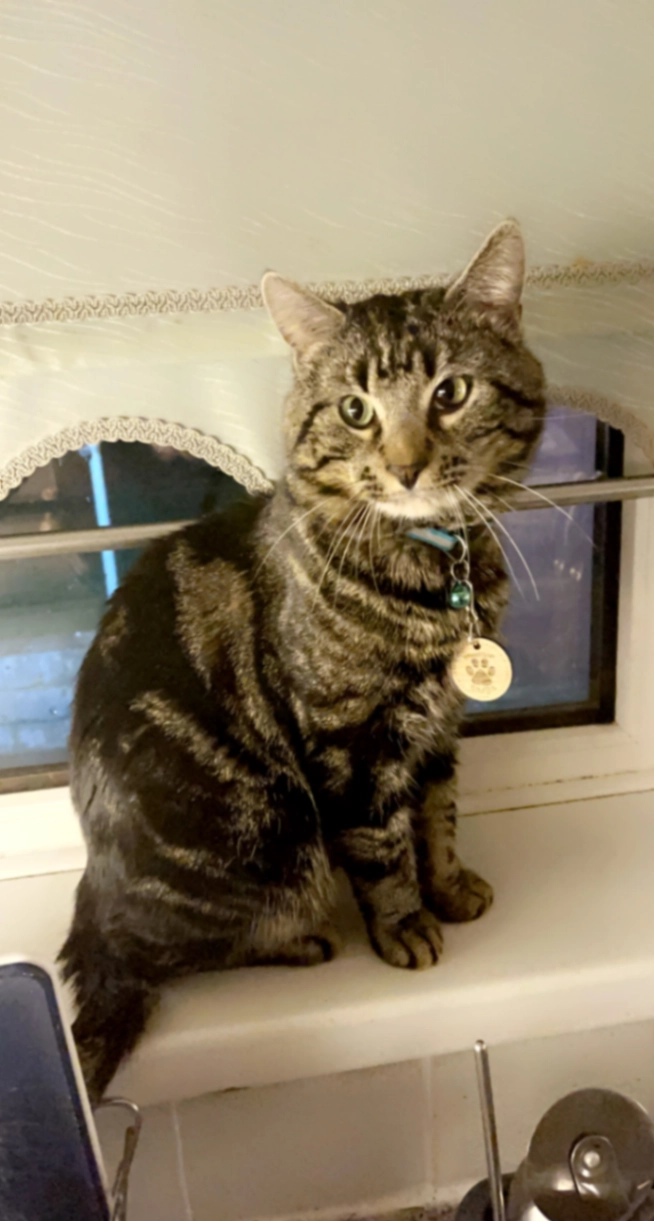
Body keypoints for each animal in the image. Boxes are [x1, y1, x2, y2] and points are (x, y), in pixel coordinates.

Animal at [59, 220, 545, 1099]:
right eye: (355, 409)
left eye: (451, 393)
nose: (407, 464)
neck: (430, 572)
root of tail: (94, 891)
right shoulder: (350, 737)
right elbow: (382, 844)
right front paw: (406, 924)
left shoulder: (436, 723)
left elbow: (439, 812)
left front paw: (451, 885)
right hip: (271, 828)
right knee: (172, 949)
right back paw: (302, 938)